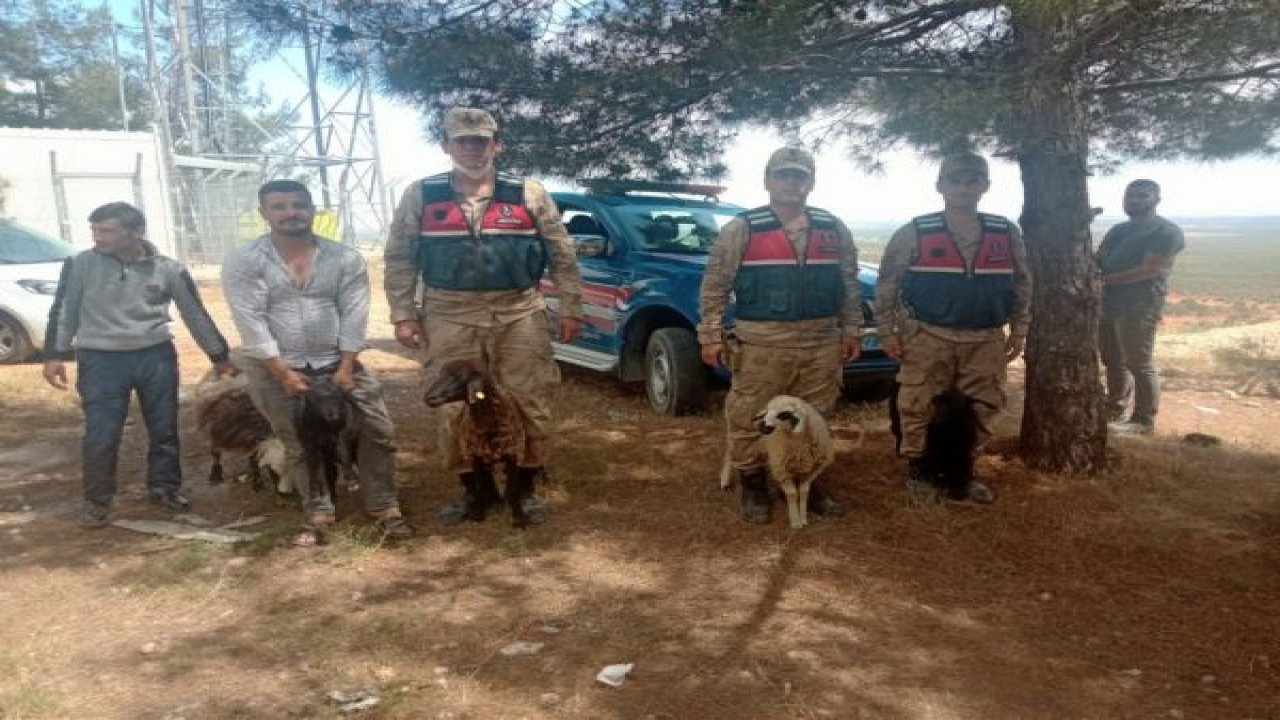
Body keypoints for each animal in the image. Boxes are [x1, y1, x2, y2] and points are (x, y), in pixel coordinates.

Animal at [424, 356, 535, 525]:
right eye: (441, 373)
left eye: (458, 376)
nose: (428, 397)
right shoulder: (474, 455)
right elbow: (479, 486)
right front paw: (477, 513)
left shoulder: (513, 454)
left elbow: (513, 488)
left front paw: (518, 518)